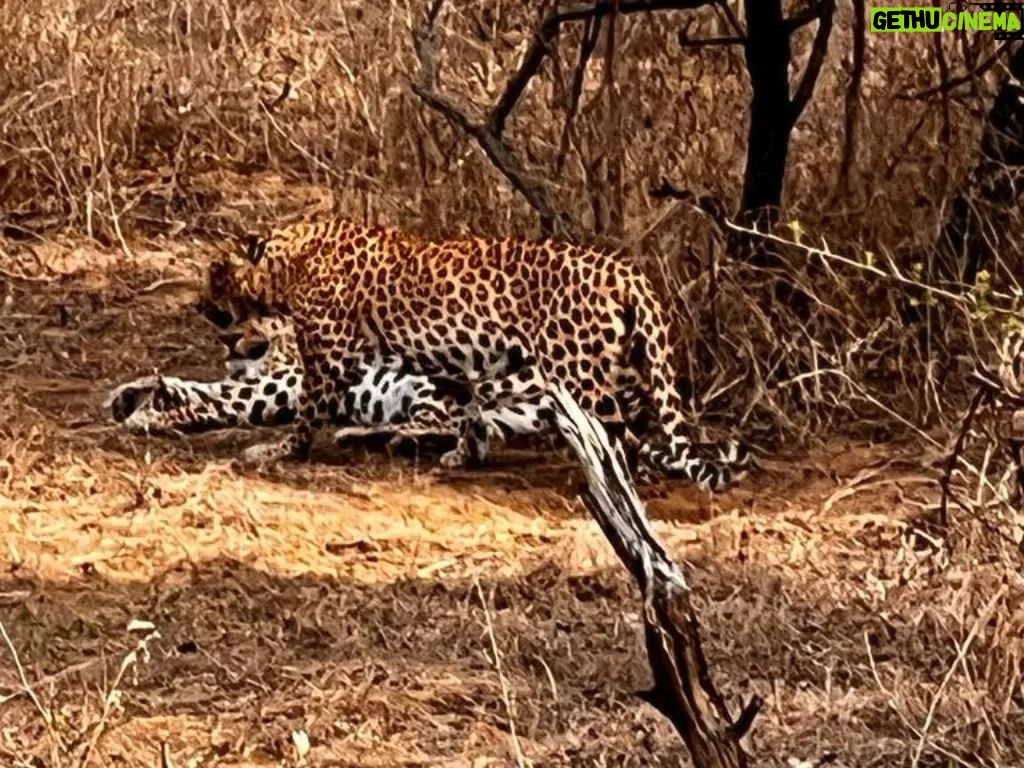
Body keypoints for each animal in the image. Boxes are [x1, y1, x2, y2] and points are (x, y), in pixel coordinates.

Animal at [198, 216, 749, 490]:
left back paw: (615, 484)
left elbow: (306, 415)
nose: (201, 305)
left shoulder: (327, 358)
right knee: (639, 432)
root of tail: (625, 270)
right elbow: (468, 410)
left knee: (617, 436)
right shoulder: (450, 363)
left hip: (579, 376)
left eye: (214, 273)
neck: (288, 262)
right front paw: (465, 454)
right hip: (627, 362)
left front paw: (278, 450)